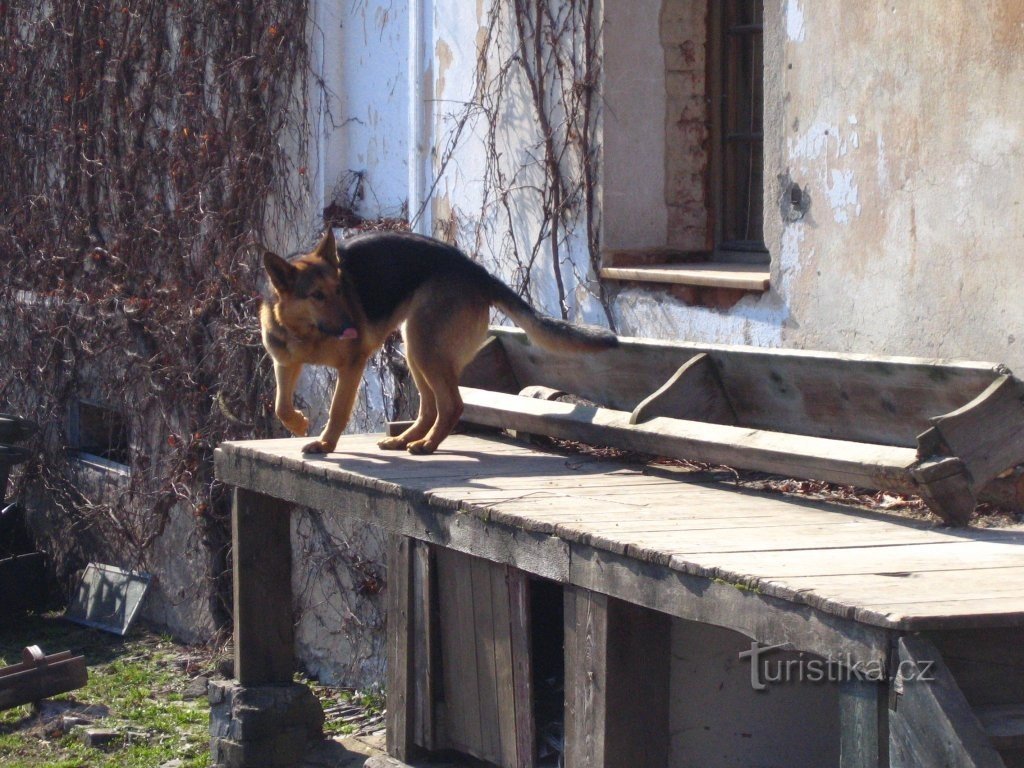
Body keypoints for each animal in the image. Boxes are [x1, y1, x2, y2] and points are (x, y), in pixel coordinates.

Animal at [264, 231, 614, 454]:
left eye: (340, 290)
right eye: (317, 295)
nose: (353, 326)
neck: (306, 332)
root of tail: (478, 272)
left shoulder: (352, 366)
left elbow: (337, 409)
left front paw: (325, 444)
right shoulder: (284, 363)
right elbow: (281, 405)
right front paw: (298, 423)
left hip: (424, 346)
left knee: (451, 405)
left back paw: (428, 445)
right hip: (415, 346)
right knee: (431, 407)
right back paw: (405, 440)